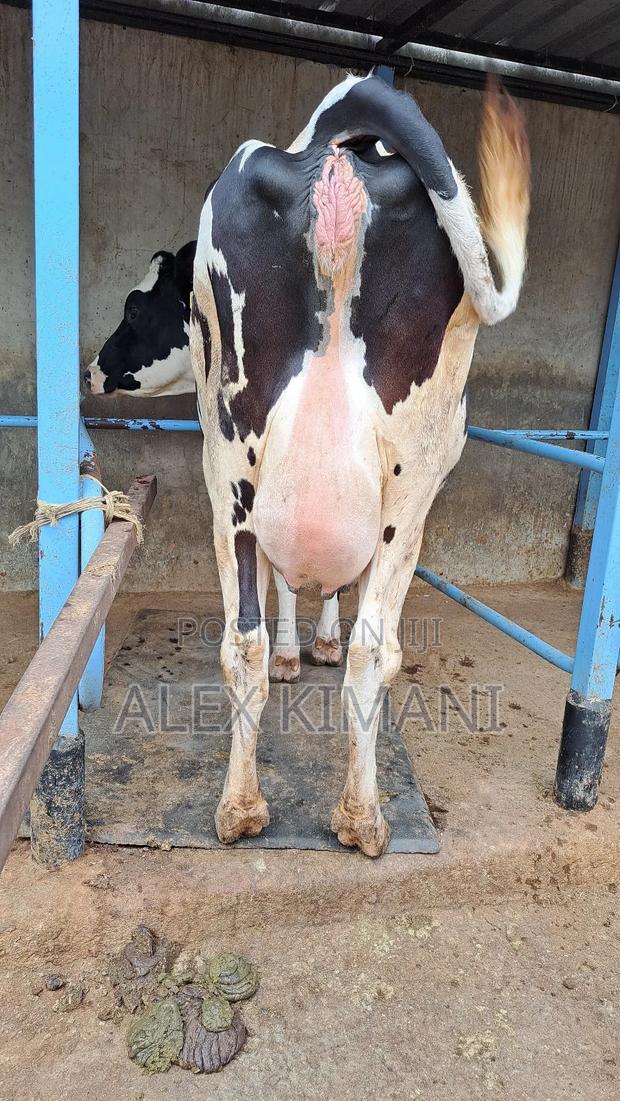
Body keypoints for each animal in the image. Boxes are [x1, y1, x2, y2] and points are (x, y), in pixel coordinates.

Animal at [190, 73, 529, 856]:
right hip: (412, 487)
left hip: (230, 468)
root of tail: (338, 158)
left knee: (246, 644)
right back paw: (362, 816)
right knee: (374, 649)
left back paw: (242, 808)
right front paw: (311, 647)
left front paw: (301, 649)